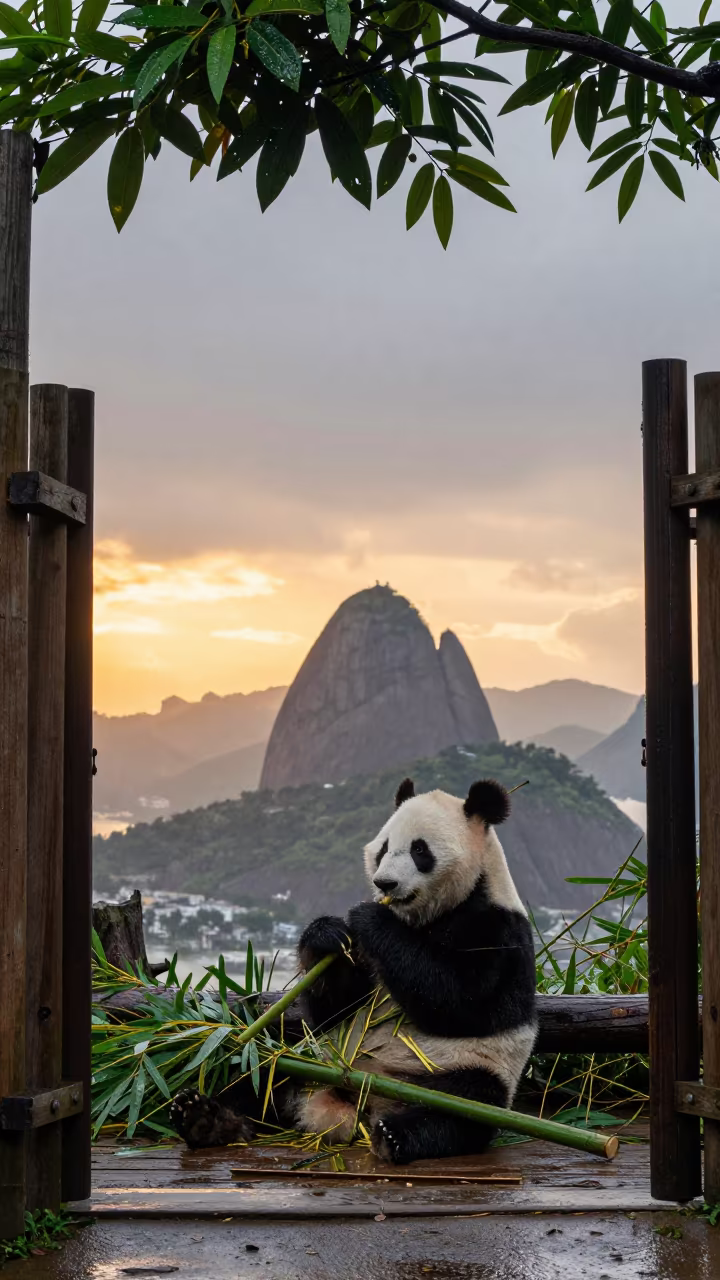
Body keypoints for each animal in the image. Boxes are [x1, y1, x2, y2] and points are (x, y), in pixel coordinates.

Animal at [170, 776, 537, 1164]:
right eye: (384, 848)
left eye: (420, 851)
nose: (384, 884)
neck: (427, 915)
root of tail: (358, 1102)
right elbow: (336, 1006)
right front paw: (327, 935)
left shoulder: (496, 930)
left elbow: (462, 1000)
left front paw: (369, 917)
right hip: (311, 1055)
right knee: (260, 1067)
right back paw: (205, 1118)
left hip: (462, 1068)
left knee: (464, 1106)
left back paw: (395, 1136)